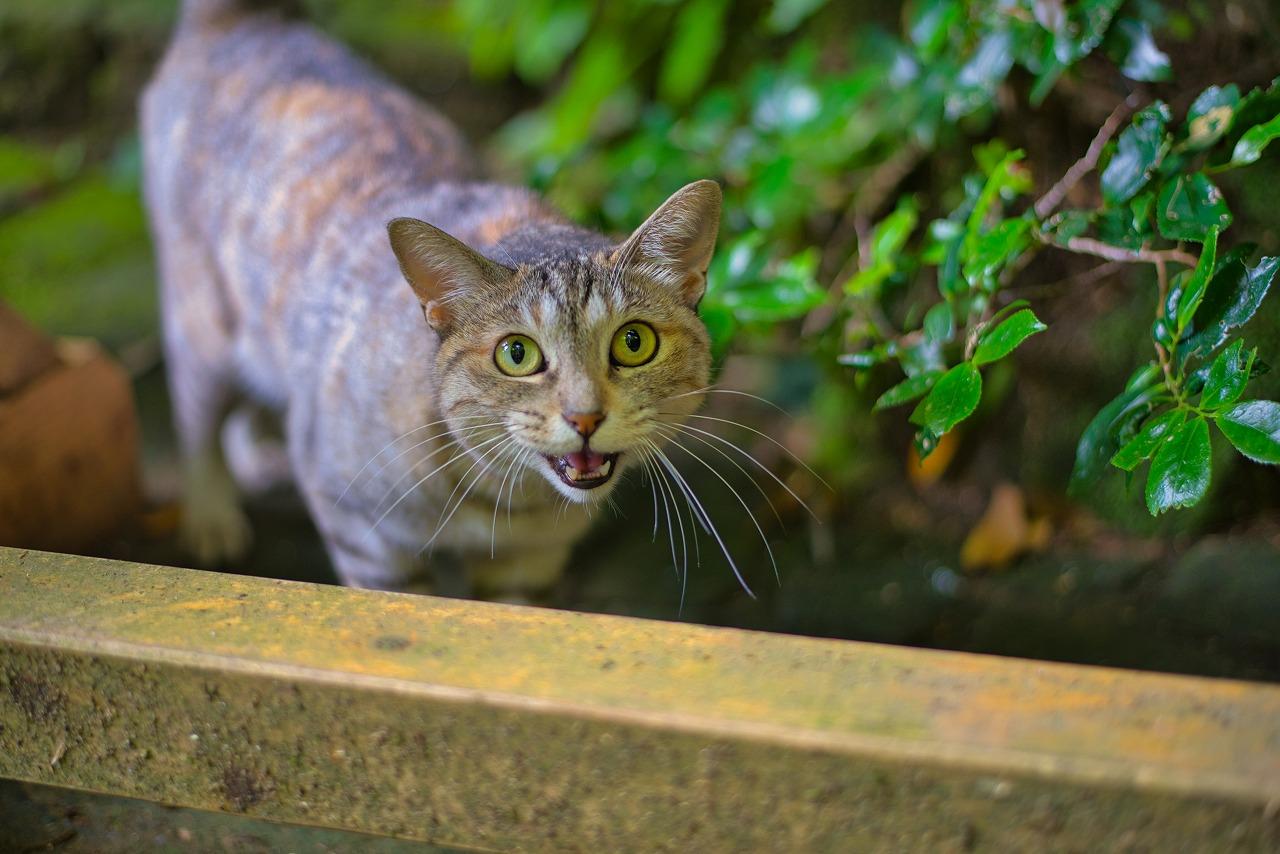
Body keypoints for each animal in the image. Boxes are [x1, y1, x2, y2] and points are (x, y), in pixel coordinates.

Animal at [142, 0, 721, 599]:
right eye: (517, 354)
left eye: (634, 343)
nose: (584, 418)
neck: (508, 499)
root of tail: (246, 20)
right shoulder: (368, 544)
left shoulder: (527, 568)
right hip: (203, 331)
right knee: (196, 420)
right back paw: (211, 515)